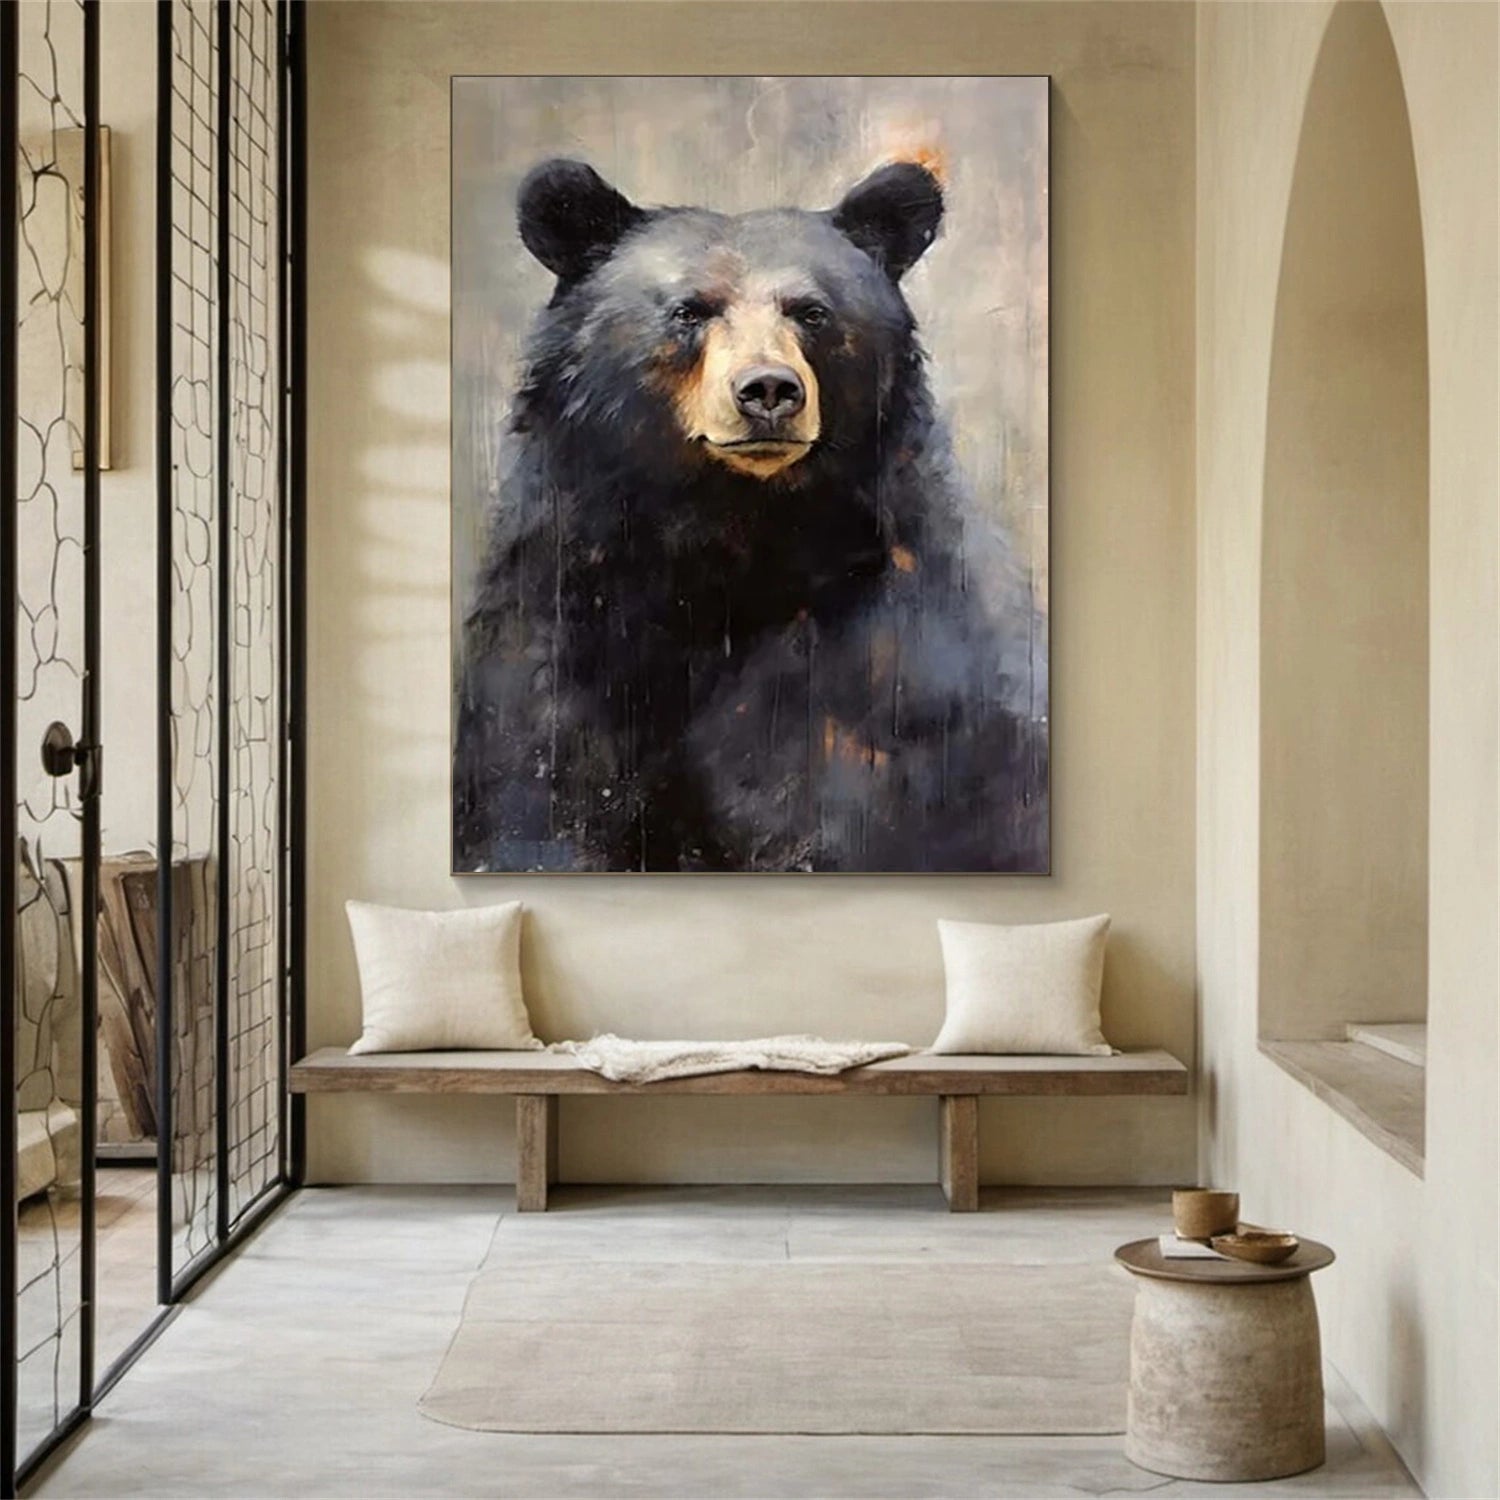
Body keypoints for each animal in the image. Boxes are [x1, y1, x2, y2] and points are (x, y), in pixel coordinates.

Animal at [454, 157, 1047, 872]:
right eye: (689, 311)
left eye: (812, 312)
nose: (768, 389)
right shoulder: (559, 615)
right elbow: (536, 794)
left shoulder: (894, 669)